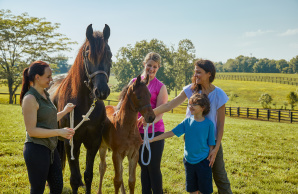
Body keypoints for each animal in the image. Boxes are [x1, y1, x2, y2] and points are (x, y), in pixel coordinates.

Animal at [49, 23, 112, 194]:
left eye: (109, 54)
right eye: (87, 55)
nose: (101, 91)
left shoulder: (93, 142)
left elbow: (88, 175)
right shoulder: (71, 141)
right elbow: (74, 179)